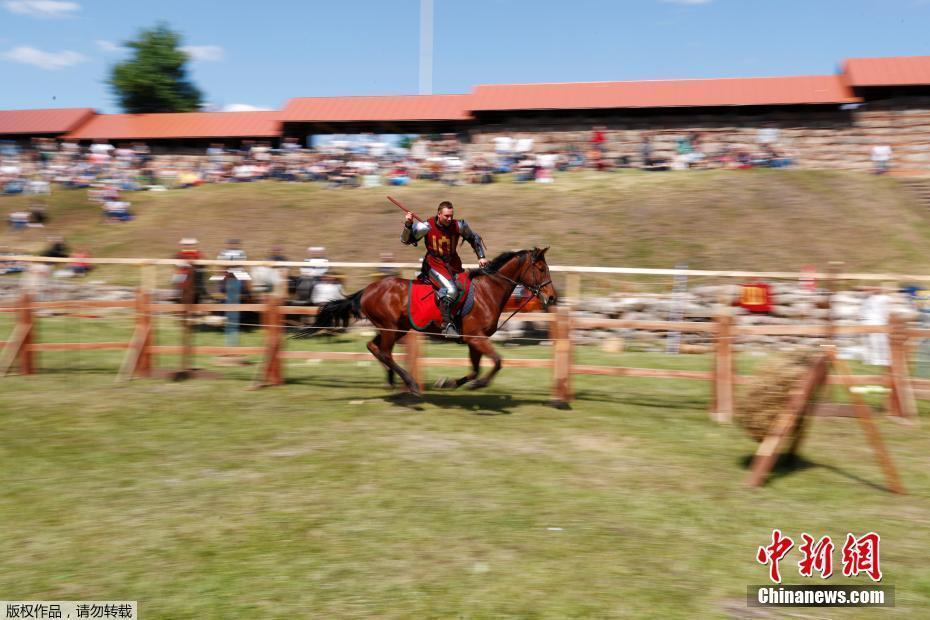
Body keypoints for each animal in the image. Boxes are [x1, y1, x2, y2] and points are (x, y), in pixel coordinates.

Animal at [312, 246, 560, 394]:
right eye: (541, 268)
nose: (552, 297)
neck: (488, 290)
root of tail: (367, 290)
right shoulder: (476, 338)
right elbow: (497, 362)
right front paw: (480, 384)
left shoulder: (474, 342)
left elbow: (475, 369)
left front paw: (448, 382)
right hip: (391, 329)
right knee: (384, 352)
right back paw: (410, 383)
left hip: (396, 329)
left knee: (374, 347)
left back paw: (393, 379)